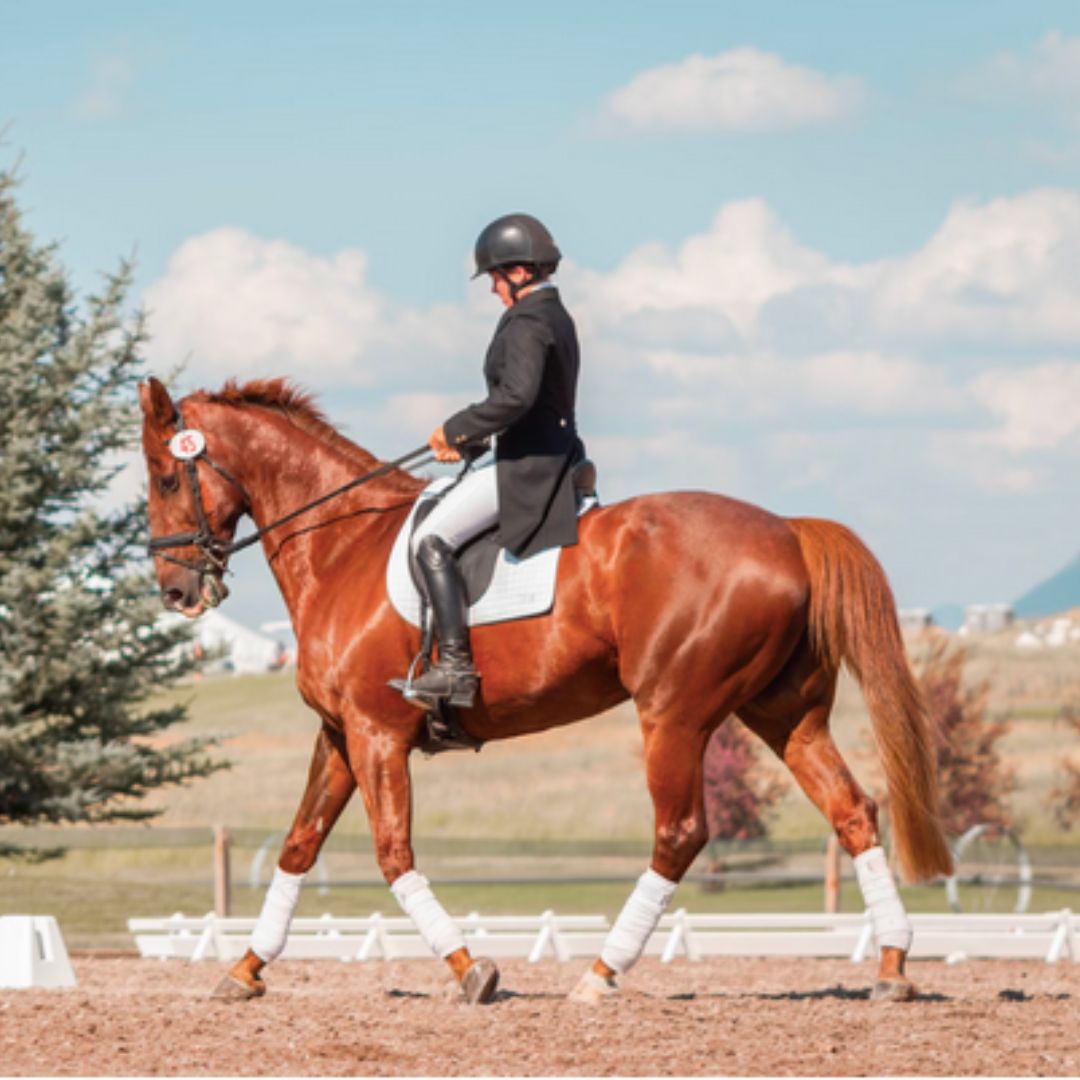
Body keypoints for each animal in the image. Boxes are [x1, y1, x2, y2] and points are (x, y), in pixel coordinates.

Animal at [137, 378, 954, 1002]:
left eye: (168, 477)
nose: (176, 592)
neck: (341, 544)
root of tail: (787, 530)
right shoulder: (341, 734)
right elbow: (300, 845)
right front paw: (245, 970)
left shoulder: (376, 734)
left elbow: (393, 853)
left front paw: (471, 970)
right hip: (785, 714)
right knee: (852, 811)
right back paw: (892, 965)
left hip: (674, 714)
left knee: (680, 833)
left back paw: (600, 973)